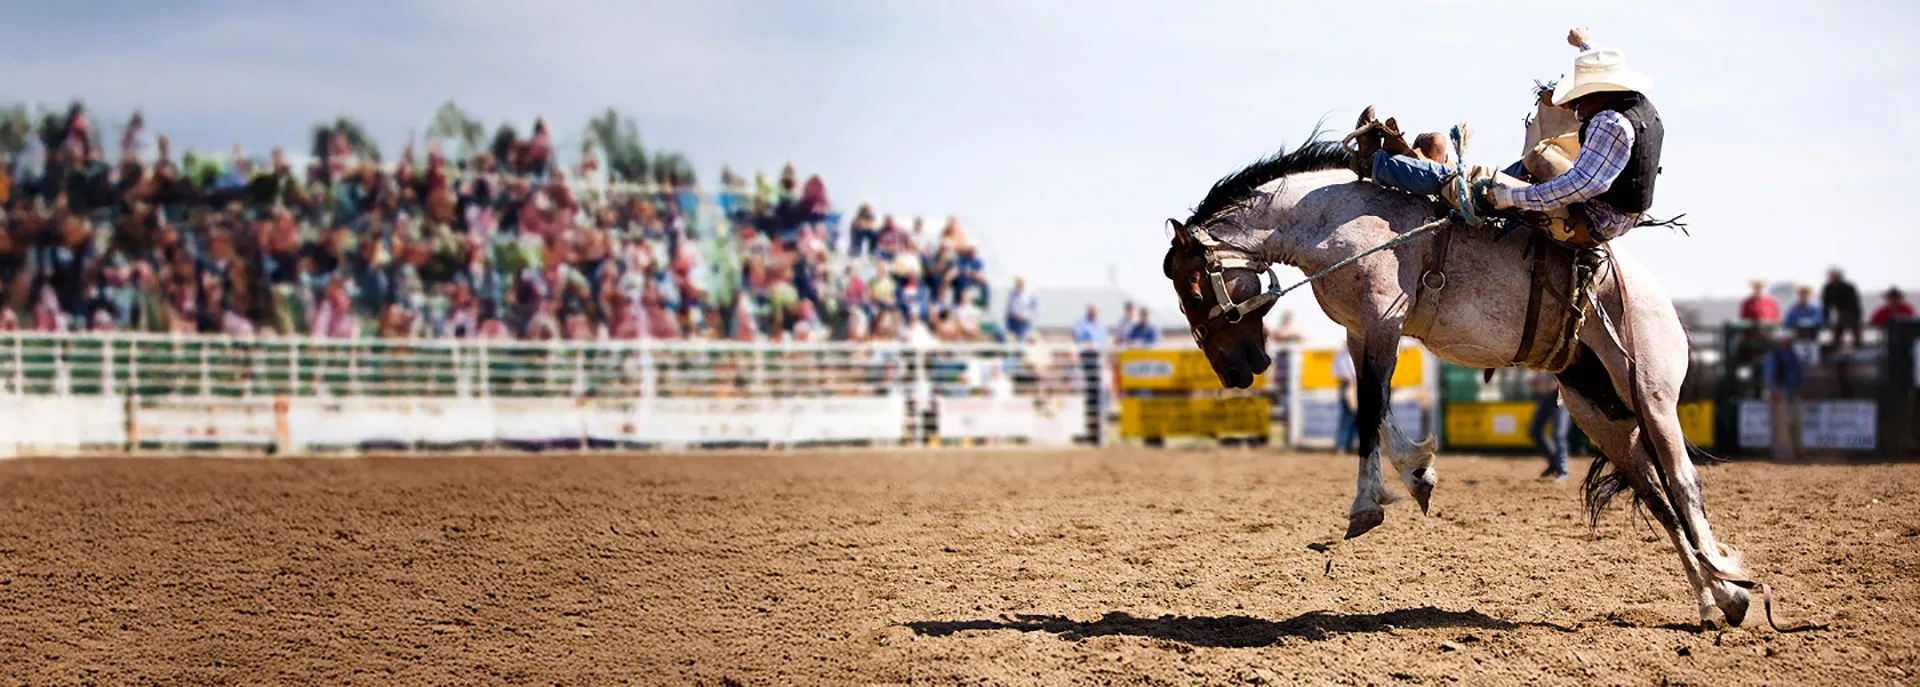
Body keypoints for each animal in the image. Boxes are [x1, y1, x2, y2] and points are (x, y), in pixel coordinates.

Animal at [1160, 137, 1764, 630]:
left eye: (1194, 291)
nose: (1234, 373)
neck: (1333, 218)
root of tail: (1659, 299)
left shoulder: (1383, 318)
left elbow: (1370, 410)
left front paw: (1371, 502)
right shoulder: (1361, 332)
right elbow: (1378, 410)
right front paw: (1416, 475)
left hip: (1652, 394)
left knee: (1684, 482)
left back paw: (1728, 588)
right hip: (1600, 412)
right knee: (1656, 494)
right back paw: (1716, 600)